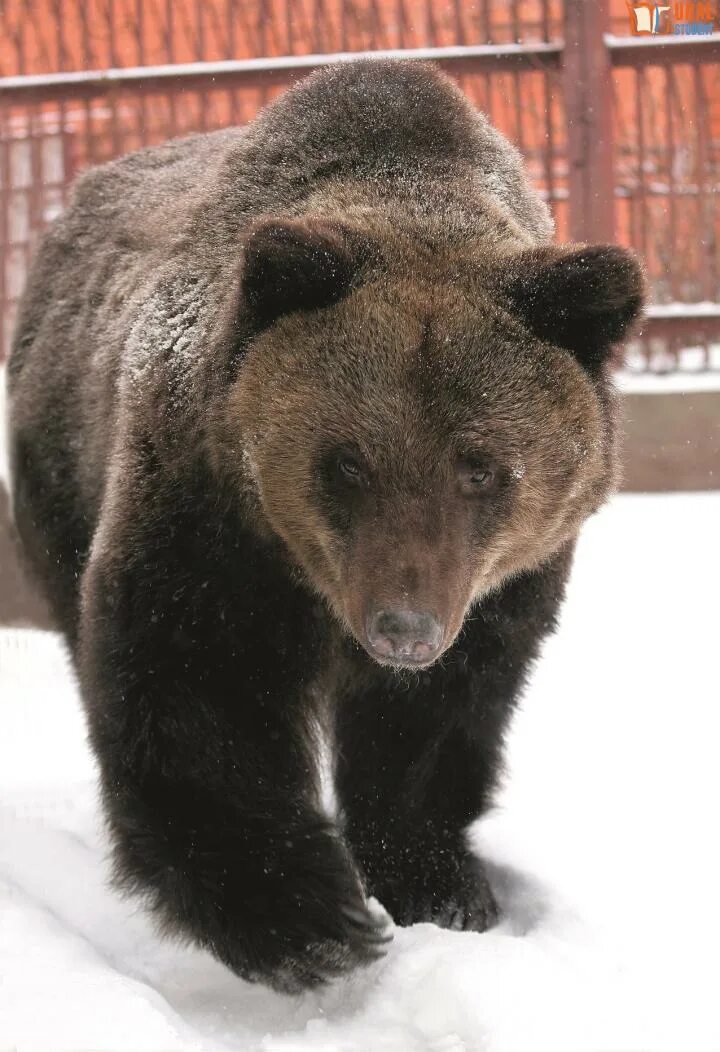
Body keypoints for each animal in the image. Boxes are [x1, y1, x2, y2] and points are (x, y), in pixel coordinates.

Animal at [7, 59, 640, 993]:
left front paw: (440, 886)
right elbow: (196, 691)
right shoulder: (212, 519)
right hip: (58, 467)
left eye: (481, 465)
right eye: (346, 462)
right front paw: (309, 919)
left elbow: (433, 725)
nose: (404, 628)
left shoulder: (503, 588)